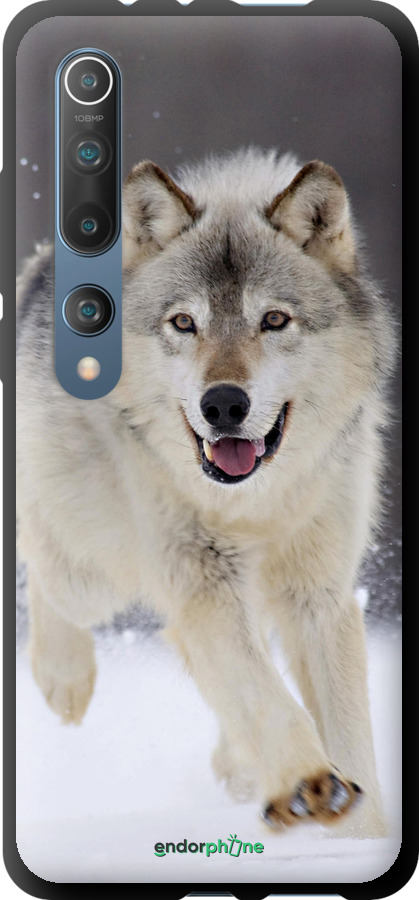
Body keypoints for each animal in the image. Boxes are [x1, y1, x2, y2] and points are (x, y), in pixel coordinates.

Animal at [17, 148, 394, 837]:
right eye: (184, 323)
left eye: (273, 320)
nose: (222, 404)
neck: (255, 504)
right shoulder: (202, 580)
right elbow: (265, 694)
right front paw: (308, 783)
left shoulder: (318, 594)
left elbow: (348, 732)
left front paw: (361, 834)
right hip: (94, 571)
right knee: (43, 562)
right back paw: (64, 678)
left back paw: (240, 765)